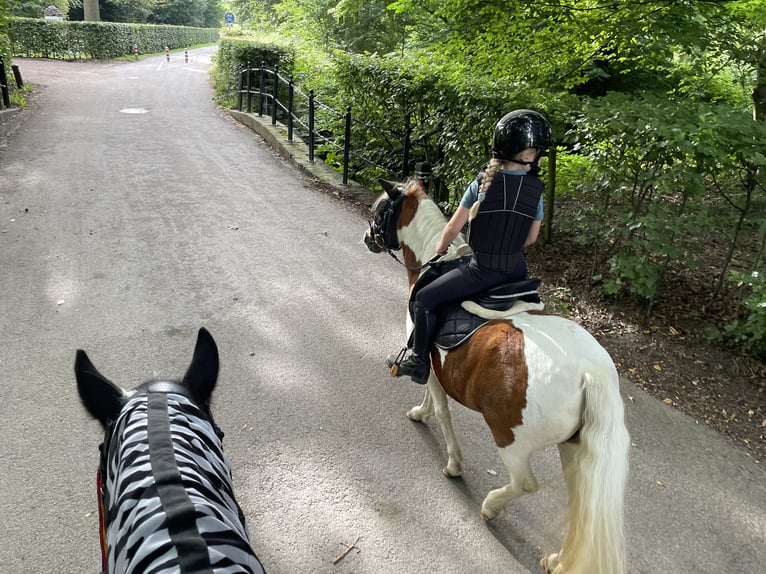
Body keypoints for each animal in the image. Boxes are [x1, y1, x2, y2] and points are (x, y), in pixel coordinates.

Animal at [364, 180, 632, 574]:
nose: (368, 237)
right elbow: (432, 398)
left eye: (381, 209)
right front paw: (419, 412)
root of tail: (590, 370)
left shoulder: (427, 360)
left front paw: (453, 461)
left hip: (511, 439)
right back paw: (558, 558)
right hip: (574, 448)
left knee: (526, 483)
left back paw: (491, 505)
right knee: (580, 503)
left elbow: (441, 408)